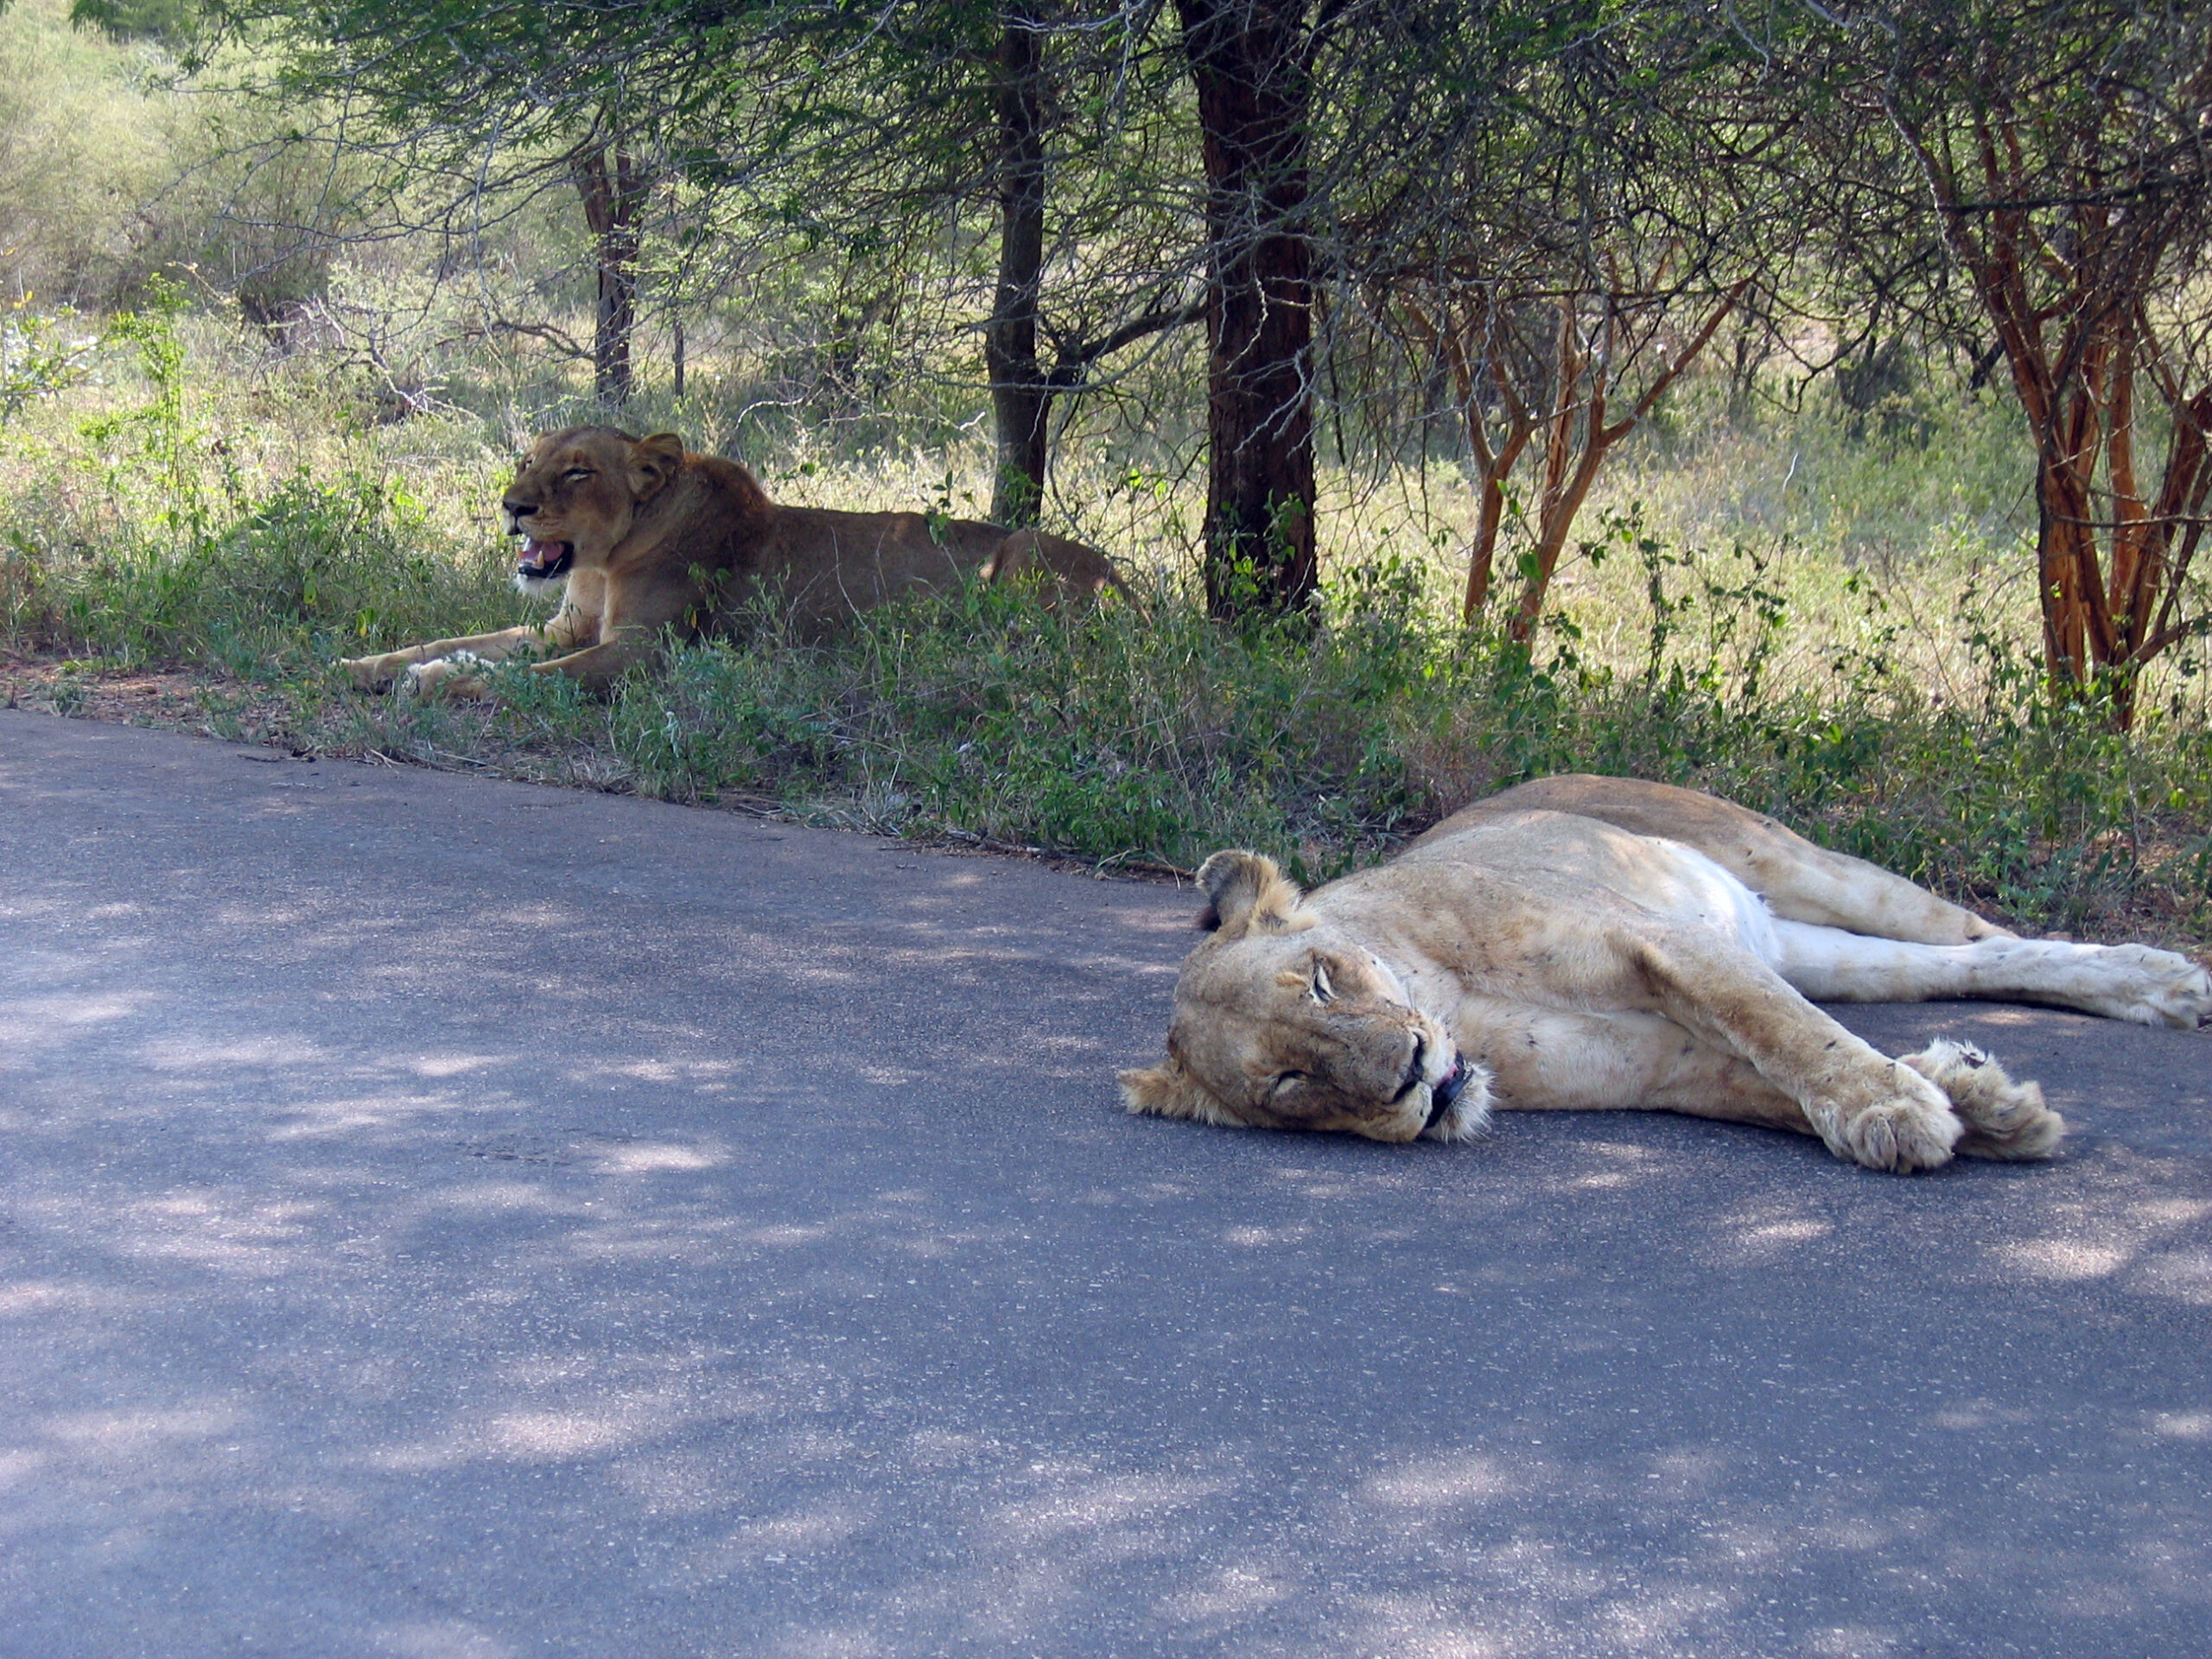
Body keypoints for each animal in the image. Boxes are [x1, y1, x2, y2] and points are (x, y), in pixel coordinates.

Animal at [340, 426, 1127, 697]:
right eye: (527, 462)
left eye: (578, 473)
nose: (512, 506)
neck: (601, 562)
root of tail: (1132, 592)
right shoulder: (564, 627)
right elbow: (454, 641)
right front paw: (365, 665)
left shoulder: (644, 653)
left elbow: (531, 677)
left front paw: (438, 683)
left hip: (1023, 551)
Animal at [1120, 775, 2212, 1173]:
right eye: (1288, 1084)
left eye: (1320, 980)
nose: (1407, 1078)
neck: (1450, 999)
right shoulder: (1669, 1067)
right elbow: (1776, 1083)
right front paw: (1983, 1107)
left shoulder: (1665, 944)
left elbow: (1786, 1036)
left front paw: (1893, 1109)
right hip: (1810, 947)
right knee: (1950, 967)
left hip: (1791, 862)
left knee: (1978, 930)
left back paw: (2164, 980)